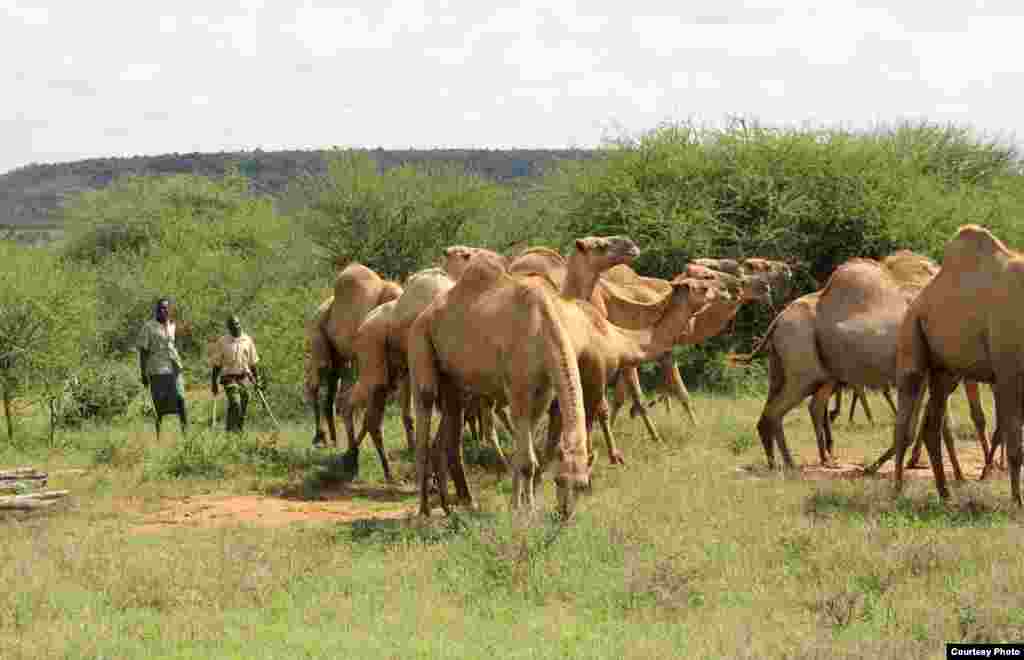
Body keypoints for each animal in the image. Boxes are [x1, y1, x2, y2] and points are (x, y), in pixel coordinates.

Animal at [301, 261, 401, 448]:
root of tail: (319, 309)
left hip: (339, 354)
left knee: (333, 383)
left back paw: (333, 439)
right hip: (317, 332)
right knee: (318, 378)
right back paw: (320, 437)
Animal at [733, 249, 987, 470]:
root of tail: (778, 320)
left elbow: (937, 428)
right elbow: (920, 428)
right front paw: (875, 468)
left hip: (789, 368)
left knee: (780, 410)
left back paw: (787, 462)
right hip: (803, 369)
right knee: (777, 412)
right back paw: (790, 465)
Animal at [872, 224, 1024, 501]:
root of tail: (915, 302)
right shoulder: (1008, 372)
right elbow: (1015, 445)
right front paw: (1017, 502)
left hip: (945, 372)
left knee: (931, 425)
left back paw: (945, 492)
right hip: (912, 339)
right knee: (904, 421)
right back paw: (898, 490)